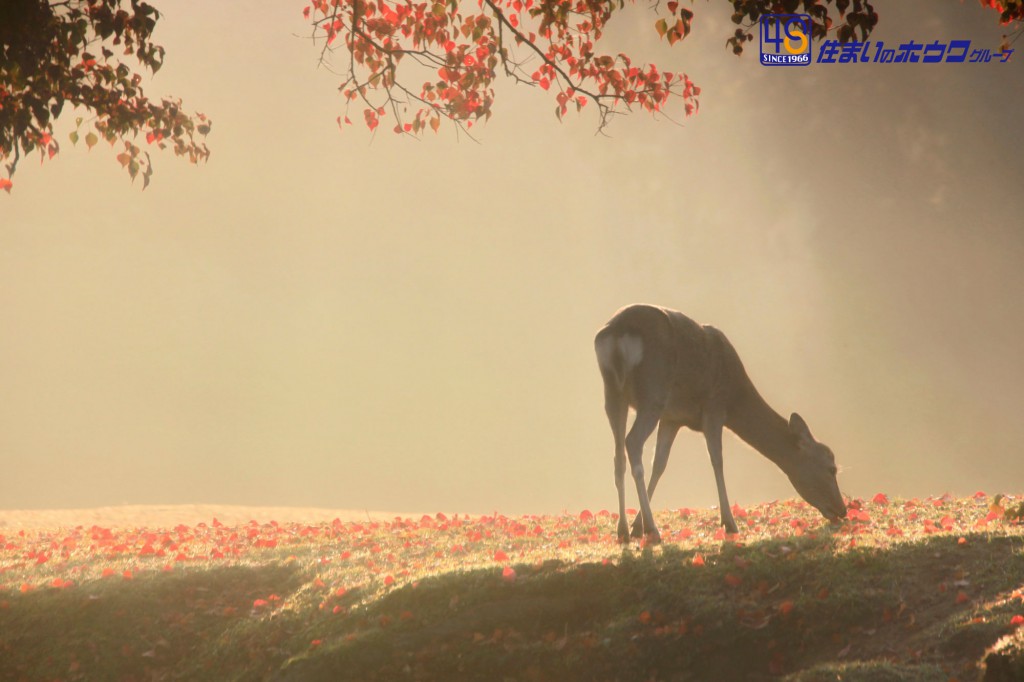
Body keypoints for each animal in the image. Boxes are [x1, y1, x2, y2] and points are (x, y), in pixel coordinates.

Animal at [598, 303, 843, 540]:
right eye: (831, 468)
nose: (841, 509)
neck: (735, 396)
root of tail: (617, 332)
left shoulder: (672, 418)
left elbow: (659, 464)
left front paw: (636, 526)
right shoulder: (714, 406)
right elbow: (717, 459)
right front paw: (730, 523)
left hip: (614, 393)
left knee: (618, 455)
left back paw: (623, 530)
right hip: (653, 391)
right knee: (632, 442)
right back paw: (653, 530)